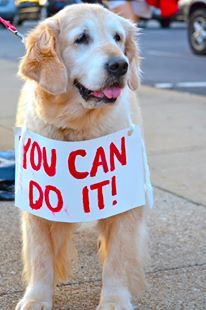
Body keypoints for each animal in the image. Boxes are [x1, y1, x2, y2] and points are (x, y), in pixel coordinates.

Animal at [15, 3, 146, 310]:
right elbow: (40, 256)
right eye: (81, 38)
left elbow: (117, 259)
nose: (120, 65)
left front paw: (114, 300)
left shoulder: (124, 201)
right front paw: (37, 298)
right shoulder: (35, 202)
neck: (78, 128)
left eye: (118, 38)